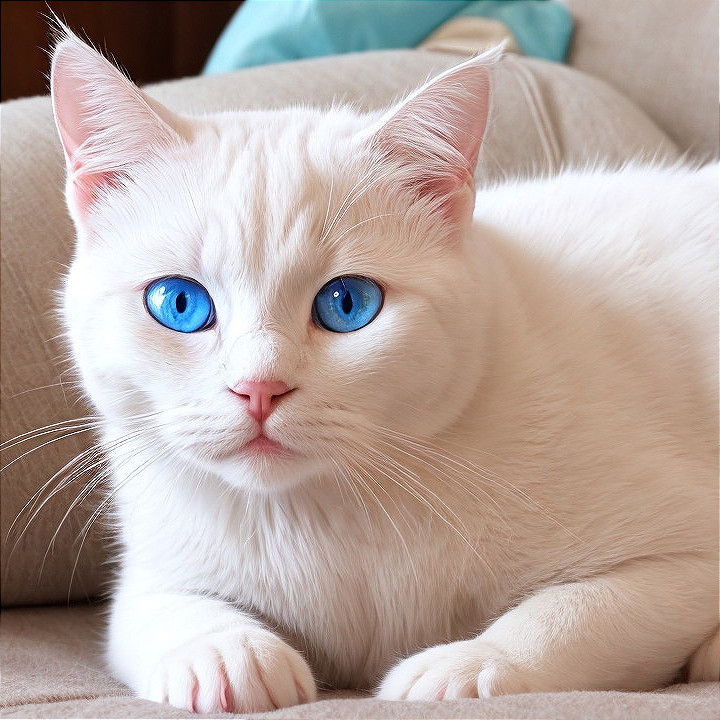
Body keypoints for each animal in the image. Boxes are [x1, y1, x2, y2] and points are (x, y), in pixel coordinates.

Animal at [50, 26, 720, 716]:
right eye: (179, 304)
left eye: (347, 304)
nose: (259, 389)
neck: (322, 515)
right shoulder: (151, 580)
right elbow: (166, 612)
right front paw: (227, 657)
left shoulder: (683, 559)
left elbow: (569, 615)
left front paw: (464, 667)